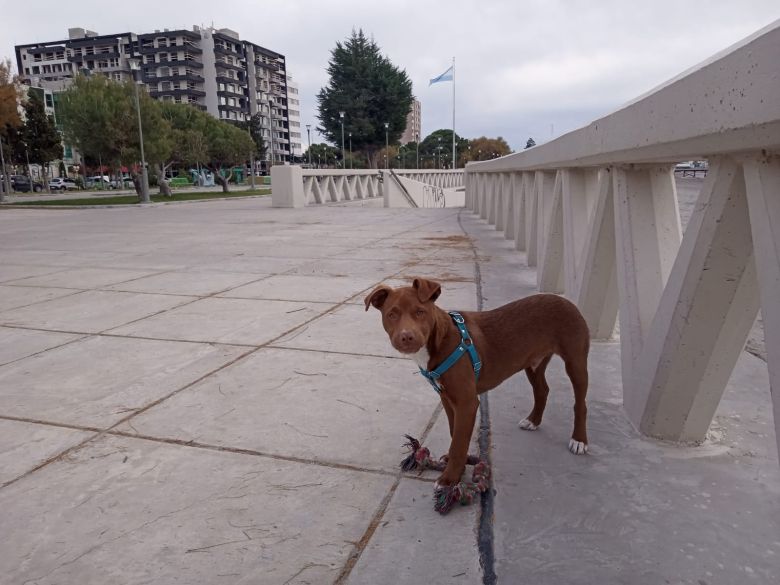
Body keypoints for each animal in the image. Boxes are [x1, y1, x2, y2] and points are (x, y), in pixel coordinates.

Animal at [366, 276, 592, 486]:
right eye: (392, 315)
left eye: (420, 312)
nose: (406, 337)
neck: (441, 340)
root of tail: (566, 301)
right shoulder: (448, 399)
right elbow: (455, 433)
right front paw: (459, 465)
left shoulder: (466, 403)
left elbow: (458, 441)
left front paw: (450, 478)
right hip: (533, 364)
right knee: (542, 390)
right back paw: (533, 420)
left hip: (576, 362)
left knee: (580, 403)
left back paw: (579, 440)